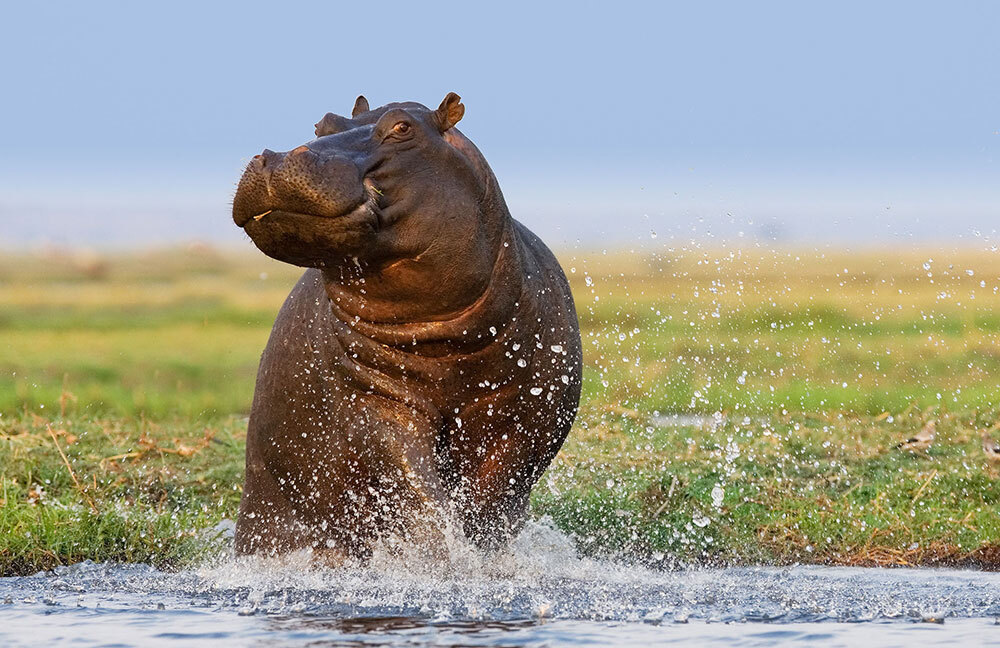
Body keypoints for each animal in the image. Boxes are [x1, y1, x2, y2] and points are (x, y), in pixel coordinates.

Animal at [231, 92, 584, 560]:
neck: (448, 342)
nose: (277, 157)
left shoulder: (527, 412)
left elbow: (493, 498)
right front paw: (445, 558)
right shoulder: (375, 401)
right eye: (321, 124)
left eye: (403, 127)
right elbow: (418, 490)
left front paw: (485, 559)